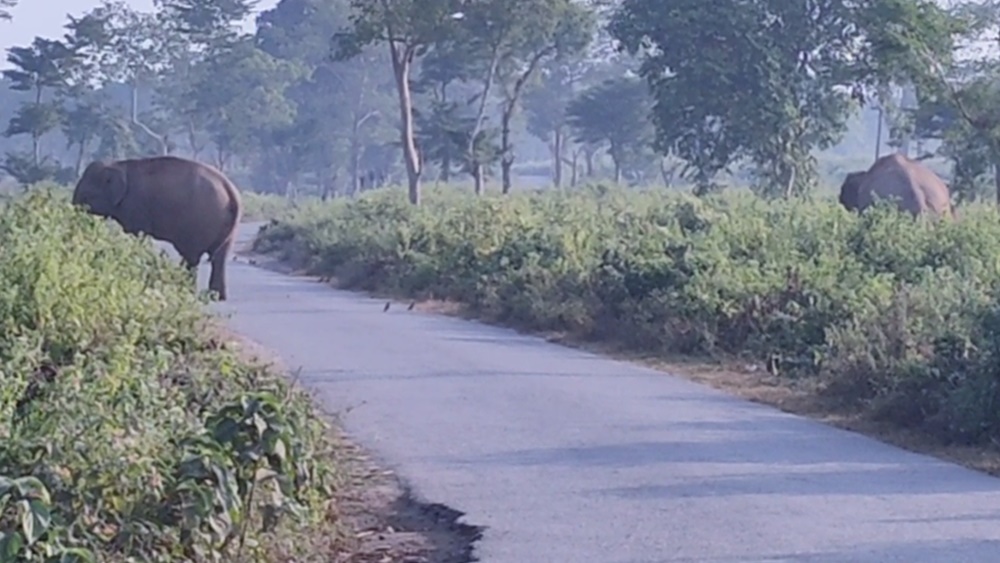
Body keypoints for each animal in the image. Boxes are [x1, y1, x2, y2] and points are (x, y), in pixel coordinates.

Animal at [71, 156, 243, 302]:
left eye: (86, 195)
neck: (118, 164)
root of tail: (231, 192)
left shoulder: (135, 204)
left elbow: (137, 234)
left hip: (199, 221)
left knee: (192, 257)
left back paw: (186, 290)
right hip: (229, 229)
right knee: (219, 258)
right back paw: (216, 297)